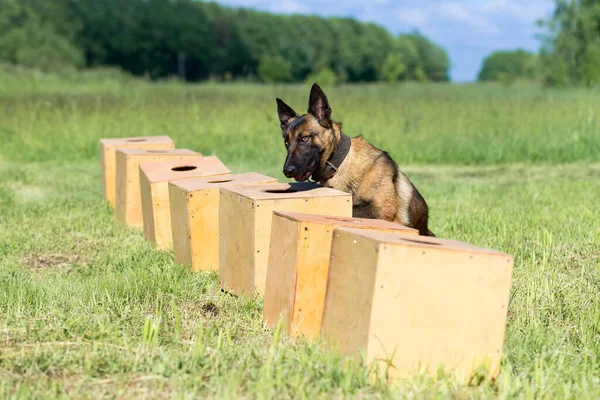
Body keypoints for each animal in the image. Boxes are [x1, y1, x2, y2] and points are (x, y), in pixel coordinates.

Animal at [274, 83, 434, 236]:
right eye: (286, 143)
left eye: (304, 138)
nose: (287, 171)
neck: (339, 165)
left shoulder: (382, 213)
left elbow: (350, 209)